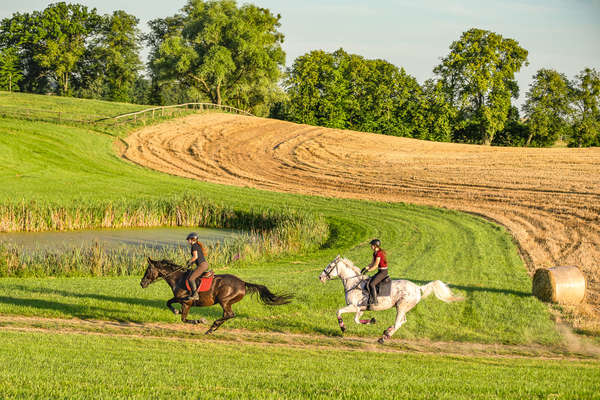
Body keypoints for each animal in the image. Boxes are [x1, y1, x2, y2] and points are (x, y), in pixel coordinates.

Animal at [141, 258, 290, 332]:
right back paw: (213, 328)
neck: (178, 278)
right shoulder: (181, 300)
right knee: (228, 315)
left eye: (148, 269)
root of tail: (243, 283)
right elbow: (170, 304)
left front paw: (199, 320)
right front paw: (177, 311)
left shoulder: (186, 302)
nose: (142, 283)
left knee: (230, 314)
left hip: (224, 301)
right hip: (226, 302)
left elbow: (182, 316)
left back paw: (212, 326)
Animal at [318, 256, 464, 344]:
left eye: (330, 266)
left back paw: (384, 337)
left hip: (401, 306)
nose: (320, 277)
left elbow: (339, 312)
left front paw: (343, 327)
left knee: (398, 322)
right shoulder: (361, 309)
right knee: (402, 321)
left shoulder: (354, 306)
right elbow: (357, 320)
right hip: (403, 308)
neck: (353, 282)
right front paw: (372, 320)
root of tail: (418, 288)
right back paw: (386, 331)